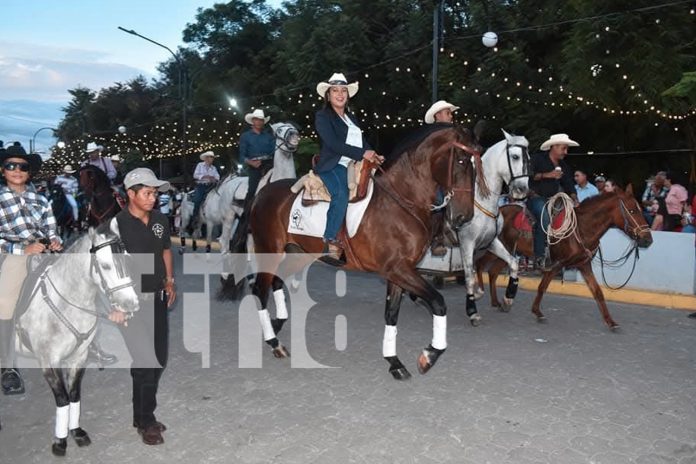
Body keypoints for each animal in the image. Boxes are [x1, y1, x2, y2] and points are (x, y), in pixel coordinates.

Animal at [15, 218, 140, 456]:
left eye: (128, 259)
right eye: (106, 265)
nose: (131, 304)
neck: (68, 301)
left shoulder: (78, 357)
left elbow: (73, 395)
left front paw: (76, 432)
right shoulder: (48, 361)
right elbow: (62, 399)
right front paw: (60, 441)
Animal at [249, 125, 484, 378]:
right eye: (461, 160)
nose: (464, 217)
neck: (401, 200)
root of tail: (262, 193)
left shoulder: (399, 271)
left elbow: (391, 313)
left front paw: (394, 361)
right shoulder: (398, 269)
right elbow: (438, 303)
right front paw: (428, 356)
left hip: (297, 253)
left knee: (276, 281)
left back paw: (276, 325)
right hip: (269, 250)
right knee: (260, 288)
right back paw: (274, 342)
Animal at [456, 130, 528, 324]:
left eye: (528, 158)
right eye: (515, 156)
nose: (522, 189)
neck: (481, 200)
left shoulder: (491, 241)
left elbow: (513, 263)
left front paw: (508, 298)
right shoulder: (466, 243)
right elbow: (469, 276)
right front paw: (472, 310)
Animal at [476, 186, 648, 330]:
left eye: (639, 209)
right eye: (632, 211)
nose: (648, 239)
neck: (581, 228)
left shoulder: (584, 265)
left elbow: (598, 292)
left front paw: (610, 321)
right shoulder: (555, 264)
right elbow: (542, 287)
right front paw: (537, 312)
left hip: (508, 252)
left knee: (492, 272)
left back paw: (497, 302)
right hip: (495, 248)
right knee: (480, 264)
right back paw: (480, 292)